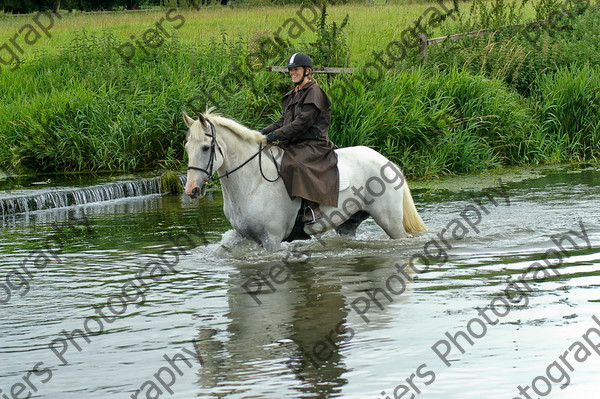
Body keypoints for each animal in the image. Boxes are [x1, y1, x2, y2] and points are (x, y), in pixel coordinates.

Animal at [183, 111, 426, 252]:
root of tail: (387, 161)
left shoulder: (272, 240)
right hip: (349, 223)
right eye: (187, 147)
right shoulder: (242, 235)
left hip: (390, 222)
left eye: (206, 148)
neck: (253, 182)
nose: (191, 189)